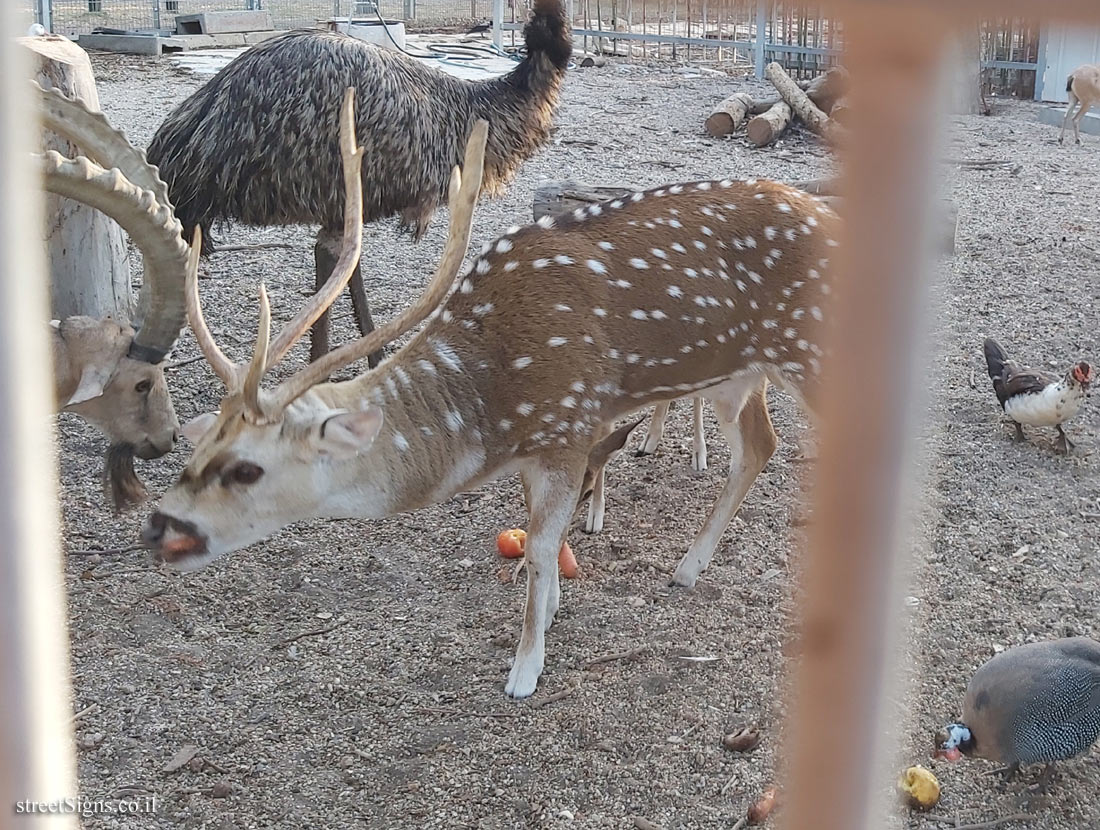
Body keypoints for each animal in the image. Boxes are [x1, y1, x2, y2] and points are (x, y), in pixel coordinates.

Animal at [141, 87, 836, 699]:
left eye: (247, 469)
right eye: (194, 455)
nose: (156, 526)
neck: (496, 411)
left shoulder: (568, 423)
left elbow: (540, 548)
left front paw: (525, 670)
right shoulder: (542, 446)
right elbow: (542, 541)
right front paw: (551, 612)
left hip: (807, 351)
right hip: (737, 374)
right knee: (760, 445)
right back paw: (689, 567)